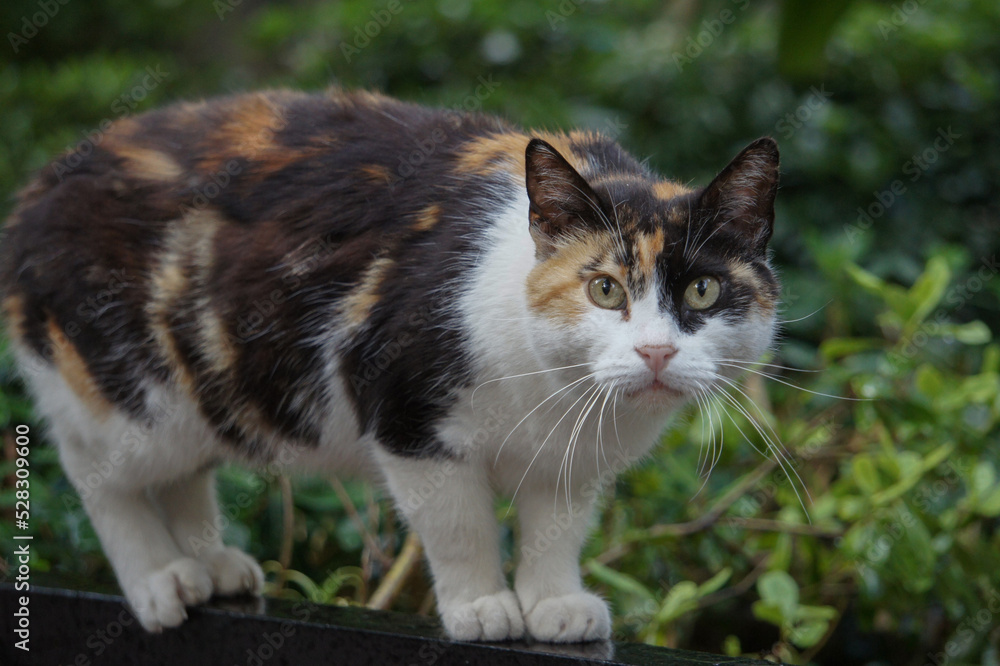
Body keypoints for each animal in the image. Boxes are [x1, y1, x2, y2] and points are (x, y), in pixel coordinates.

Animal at [0, 89, 780, 644]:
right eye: (606, 289)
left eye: (704, 291)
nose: (656, 352)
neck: (550, 393)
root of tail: (37, 187)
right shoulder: (408, 417)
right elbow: (459, 526)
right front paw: (482, 606)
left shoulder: (573, 460)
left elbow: (556, 527)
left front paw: (555, 603)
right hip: (132, 395)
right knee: (97, 471)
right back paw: (160, 576)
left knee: (183, 473)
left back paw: (210, 567)